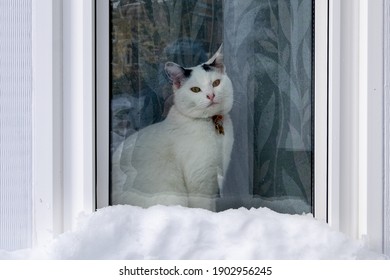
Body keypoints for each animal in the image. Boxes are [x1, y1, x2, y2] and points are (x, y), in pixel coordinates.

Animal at [111, 46, 236, 210]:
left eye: (216, 83)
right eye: (195, 89)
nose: (211, 95)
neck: (210, 124)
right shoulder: (200, 179)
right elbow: (204, 207)